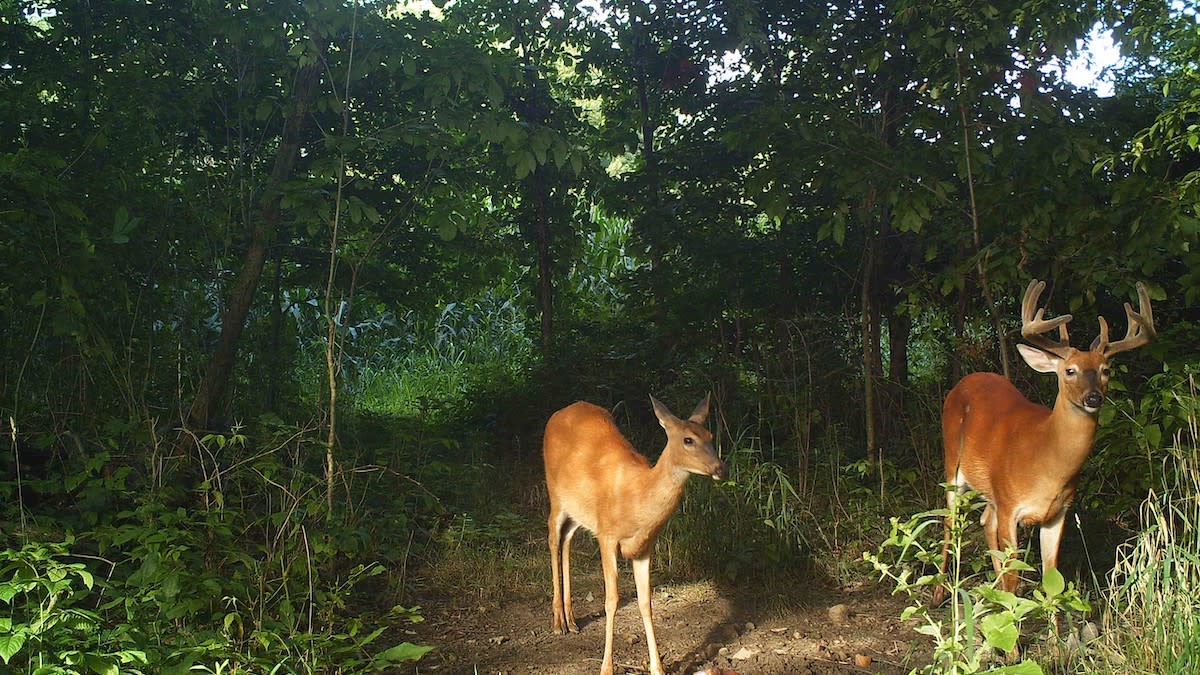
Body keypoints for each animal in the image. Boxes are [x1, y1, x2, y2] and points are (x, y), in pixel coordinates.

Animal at [547, 393, 729, 672]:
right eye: (688, 439)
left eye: (710, 435)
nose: (721, 469)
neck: (637, 497)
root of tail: (560, 412)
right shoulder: (607, 536)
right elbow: (612, 601)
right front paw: (606, 667)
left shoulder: (645, 546)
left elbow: (645, 602)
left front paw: (658, 667)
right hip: (555, 495)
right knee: (553, 537)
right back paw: (558, 623)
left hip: (578, 509)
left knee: (567, 538)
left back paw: (571, 619)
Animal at [926, 278, 1152, 605]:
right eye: (1069, 370)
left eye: (1105, 371)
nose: (1093, 398)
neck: (1046, 459)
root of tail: (966, 380)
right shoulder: (1010, 505)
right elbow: (1014, 576)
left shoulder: (1057, 513)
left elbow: (1051, 578)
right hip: (952, 461)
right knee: (949, 522)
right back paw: (939, 592)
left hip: (991, 490)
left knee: (985, 520)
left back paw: (990, 591)